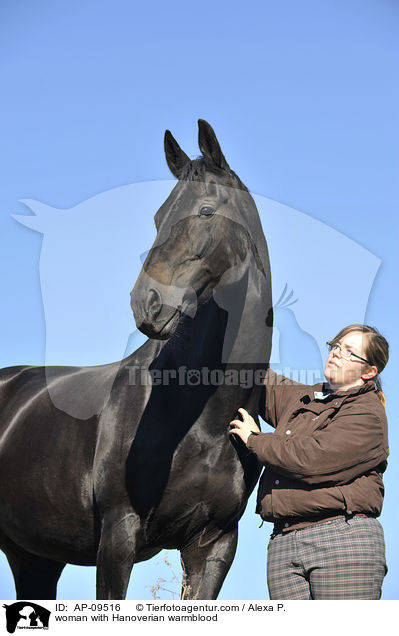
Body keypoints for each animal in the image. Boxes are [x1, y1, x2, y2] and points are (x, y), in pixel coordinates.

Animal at [0, 120, 272, 600]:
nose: (146, 303)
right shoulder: (118, 535)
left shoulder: (214, 544)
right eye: (158, 217)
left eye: (205, 211)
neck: (197, 415)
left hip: (34, 558)